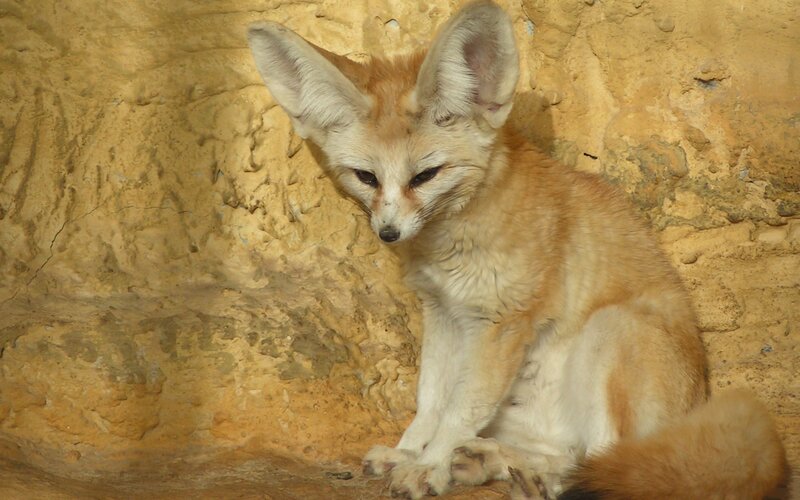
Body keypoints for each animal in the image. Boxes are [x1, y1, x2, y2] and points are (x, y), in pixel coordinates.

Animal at [246, 1, 787, 498]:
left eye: (425, 176)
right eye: (366, 177)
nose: (389, 233)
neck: (453, 240)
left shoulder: (501, 323)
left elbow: (459, 410)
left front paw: (428, 466)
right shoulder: (443, 313)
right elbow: (431, 401)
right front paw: (410, 451)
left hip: (610, 332)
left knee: (607, 464)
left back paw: (530, 476)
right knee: (570, 454)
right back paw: (496, 462)